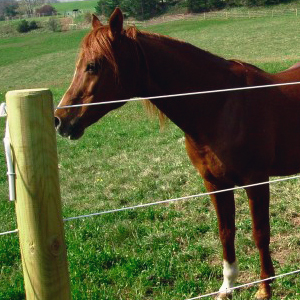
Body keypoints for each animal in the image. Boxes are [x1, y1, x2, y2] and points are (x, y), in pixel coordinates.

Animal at [54, 8, 300, 298]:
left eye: (93, 65)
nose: (60, 120)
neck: (221, 105)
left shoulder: (256, 181)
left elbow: (260, 233)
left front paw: (264, 288)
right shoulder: (214, 183)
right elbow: (225, 232)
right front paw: (227, 287)